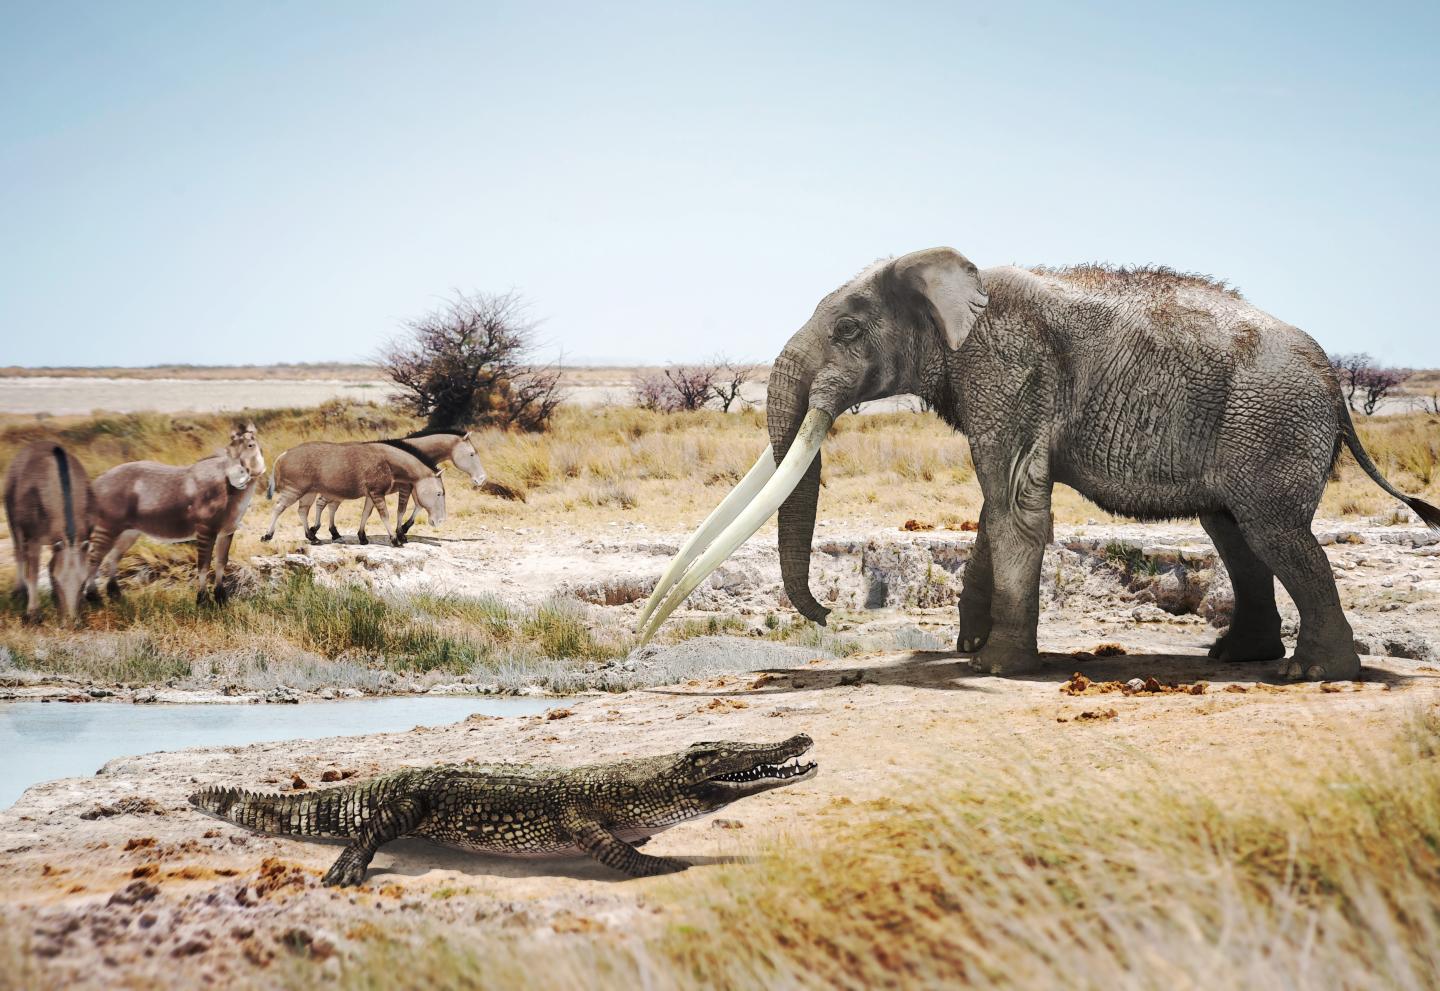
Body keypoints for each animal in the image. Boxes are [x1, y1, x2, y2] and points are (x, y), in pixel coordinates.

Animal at [648, 247, 1440, 679]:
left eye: (846, 329)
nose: (829, 614)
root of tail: (1334, 379)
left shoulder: (1008, 368)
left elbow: (1013, 504)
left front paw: (994, 667)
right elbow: (993, 504)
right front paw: (968, 652)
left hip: (1272, 421)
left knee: (1273, 533)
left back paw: (1309, 672)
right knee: (1235, 533)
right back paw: (1236, 658)